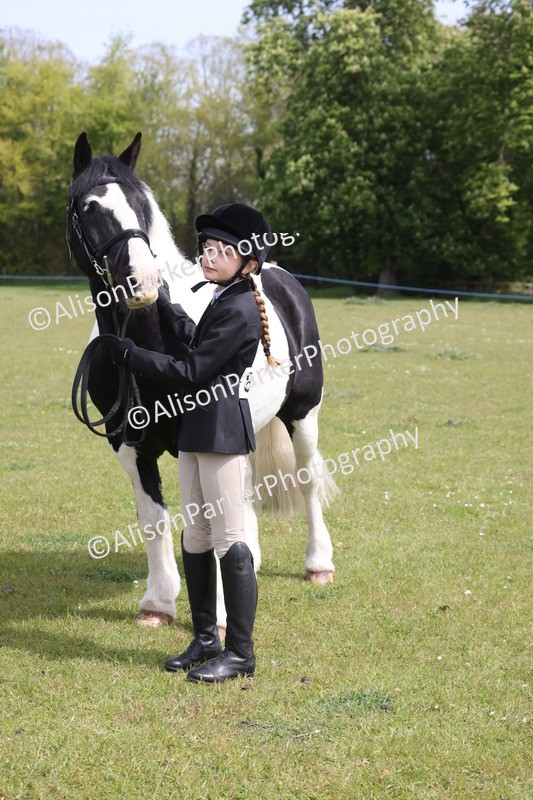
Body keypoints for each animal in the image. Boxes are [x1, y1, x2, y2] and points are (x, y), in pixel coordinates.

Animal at [67, 132, 338, 629]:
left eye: (142, 204)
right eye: (90, 206)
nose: (143, 282)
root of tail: (279, 276)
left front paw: (223, 612)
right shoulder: (128, 445)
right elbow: (153, 518)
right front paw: (157, 603)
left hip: (303, 413)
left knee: (308, 478)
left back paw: (318, 564)